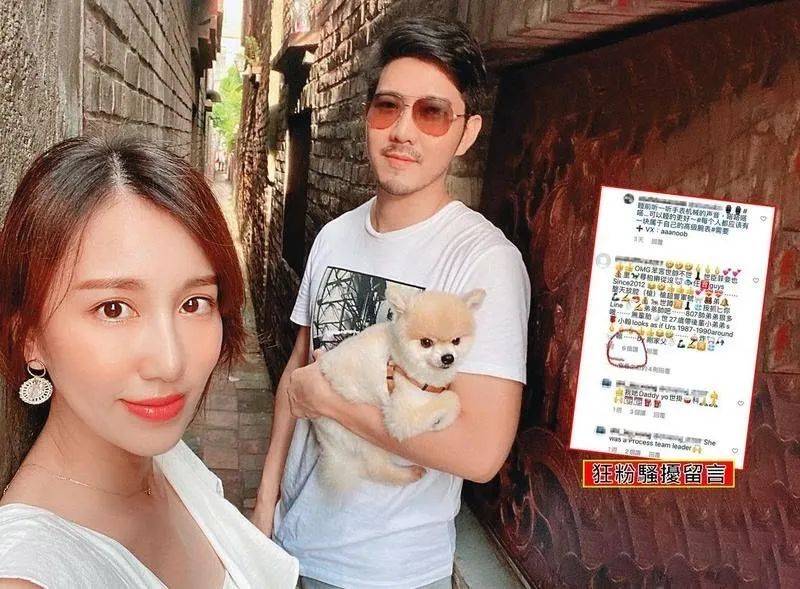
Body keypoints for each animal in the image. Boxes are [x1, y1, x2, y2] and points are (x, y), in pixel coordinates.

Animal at [313, 285, 485, 491]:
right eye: (426, 342)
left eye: (456, 341)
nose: (448, 358)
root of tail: (320, 433)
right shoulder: (402, 416)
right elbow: (451, 398)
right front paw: (443, 420)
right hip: (365, 436)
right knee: (375, 469)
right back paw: (407, 474)